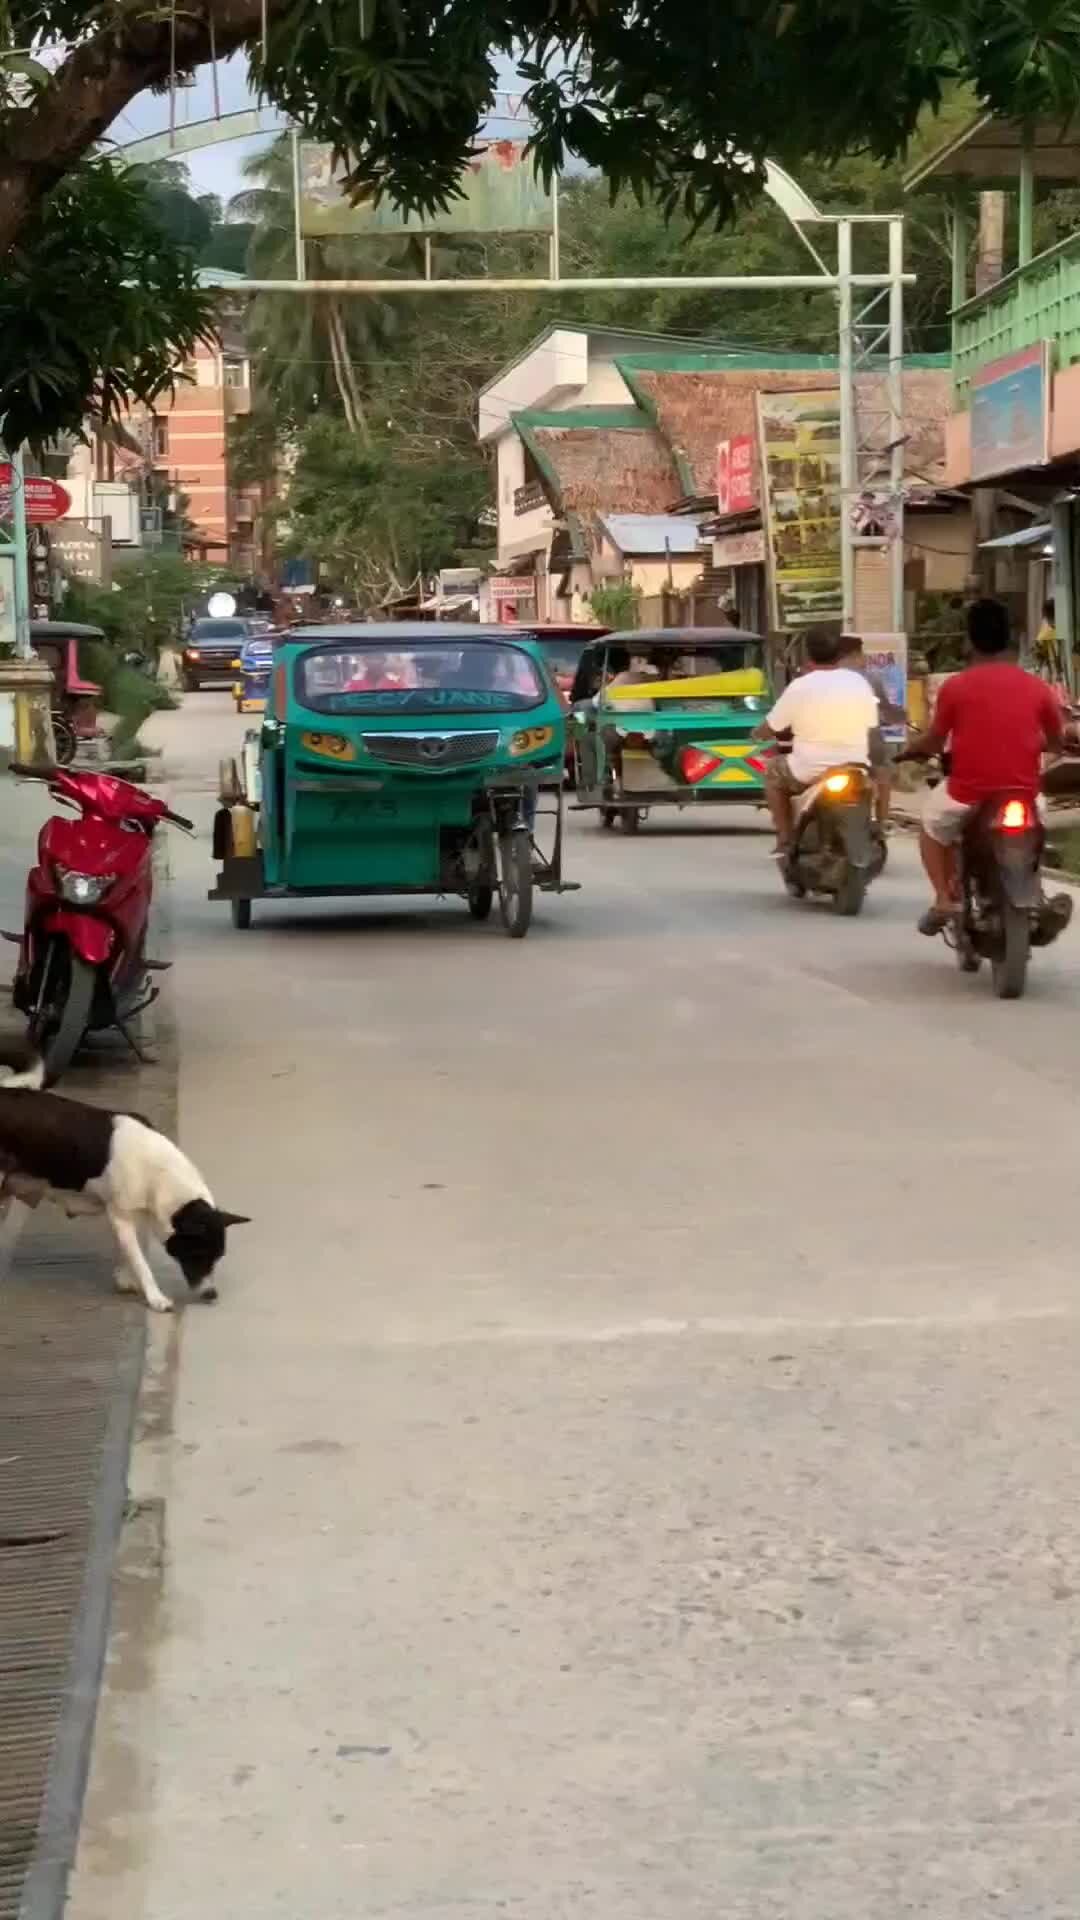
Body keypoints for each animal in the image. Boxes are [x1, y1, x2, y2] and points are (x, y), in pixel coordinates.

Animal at [0, 1044, 247, 1313]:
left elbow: (130, 1253)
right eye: (199, 1254)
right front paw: (155, 1297)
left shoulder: (135, 1215)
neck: (159, 1172)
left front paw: (125, 1278)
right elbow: (141, 1262)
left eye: (218, 1256)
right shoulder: (121, 1217)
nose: (211, 1294)